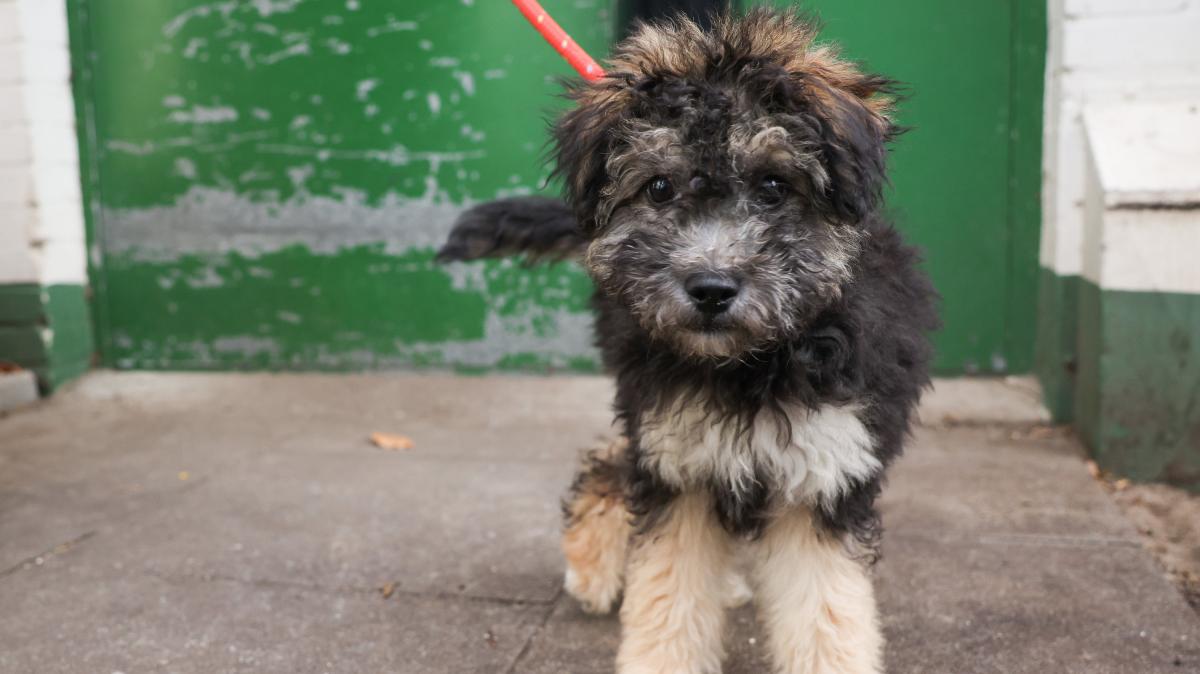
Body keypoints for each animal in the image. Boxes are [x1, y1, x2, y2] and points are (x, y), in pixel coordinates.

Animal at [439, 10, 936, 671]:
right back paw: (593, 567)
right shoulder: (680, 465)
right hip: (650, 411)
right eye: (658, 188)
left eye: (774, 185)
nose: (710, 289)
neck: (751, 364)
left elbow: (824, 616)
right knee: (612, 461)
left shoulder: (825, 471)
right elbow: (670, 597)